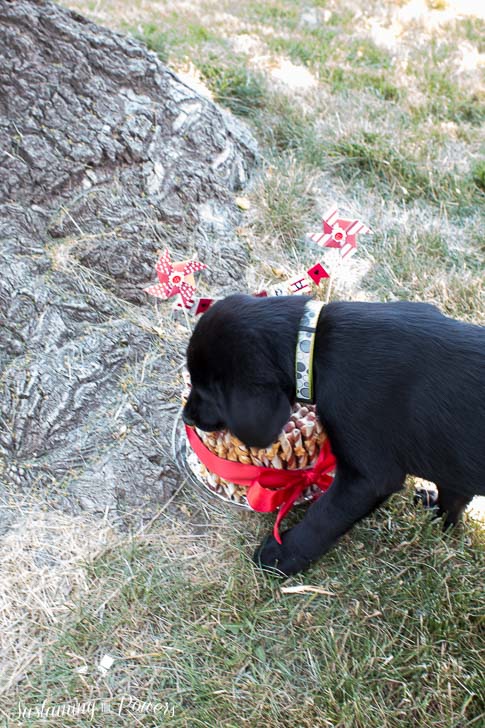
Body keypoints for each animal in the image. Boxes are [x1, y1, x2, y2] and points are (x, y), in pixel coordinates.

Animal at [182, 294, 484, 576]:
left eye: (207, 391)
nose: (186, 417)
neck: (311, 345)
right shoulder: (449, 460)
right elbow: (453, 495)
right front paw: (438, 517)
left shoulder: (368, 479)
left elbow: (322, 517)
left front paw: (281, 555)